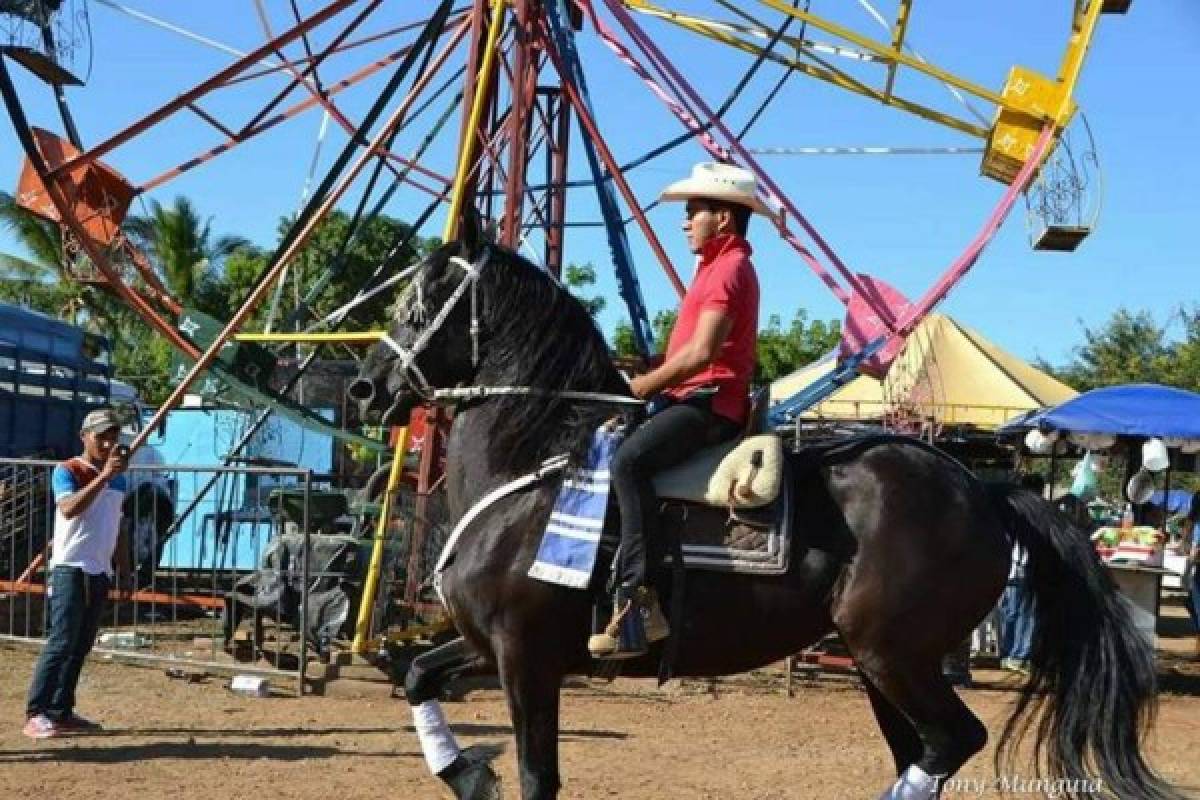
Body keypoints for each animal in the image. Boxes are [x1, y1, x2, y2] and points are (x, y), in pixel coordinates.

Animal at [348, 236, 1180, 800]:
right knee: (929, 749)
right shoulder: (487, 645)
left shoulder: (527, 657)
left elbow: (537, 777)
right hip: (884, 663)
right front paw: (464, 773)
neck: (536, 470)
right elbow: (418, 675)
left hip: (894, 655)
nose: (363, 389)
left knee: (952, 740)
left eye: (418, 304)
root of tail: (984, 491)